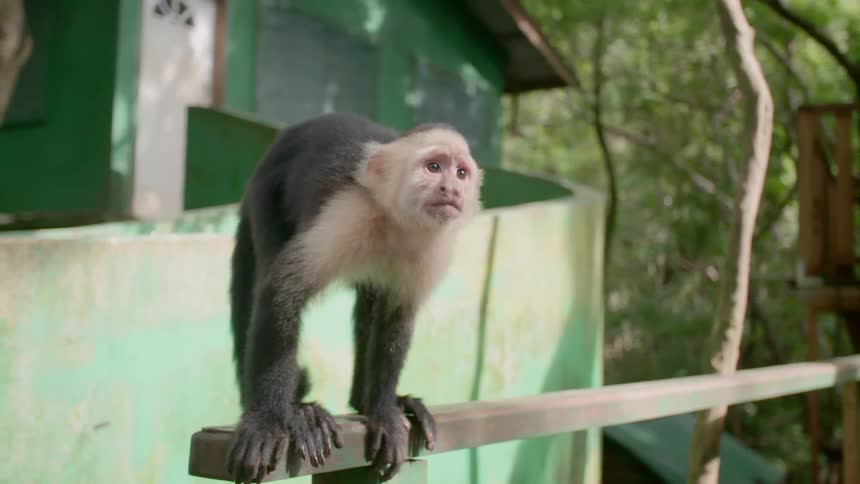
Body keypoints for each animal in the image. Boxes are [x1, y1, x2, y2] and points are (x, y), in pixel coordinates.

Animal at [226, 112, 483, 483]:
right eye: (434, 166)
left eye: (461, 173)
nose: (451, 188)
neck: (396, 220)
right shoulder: (350, 212)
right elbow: (282, 292)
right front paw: (266, 421)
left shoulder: (432, 246)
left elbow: (396, 317)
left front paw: (384, 412)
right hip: (267, 190)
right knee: (269, 265)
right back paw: (294, 412)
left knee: (371, 302)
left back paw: (368, 401)